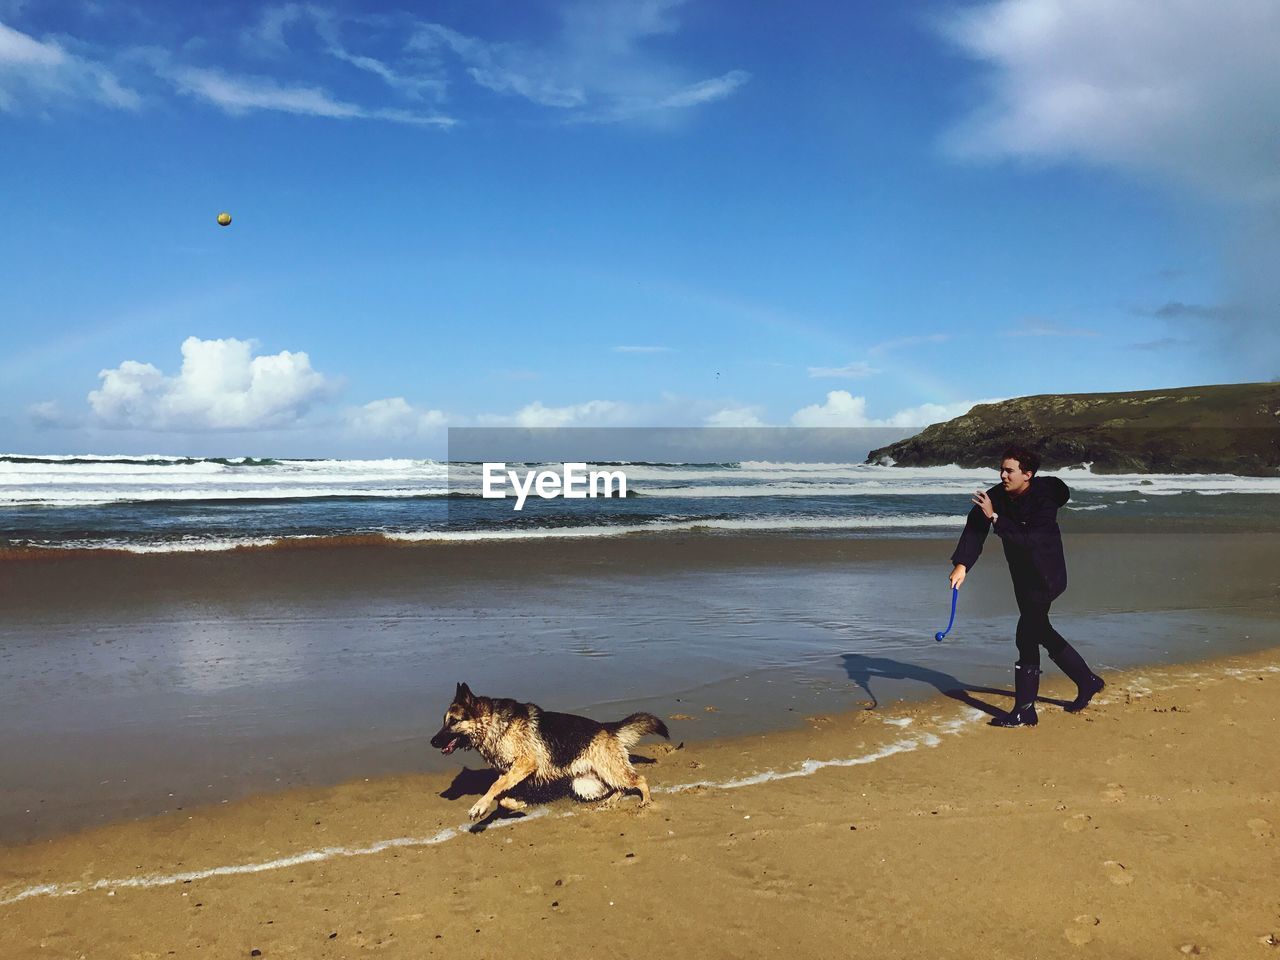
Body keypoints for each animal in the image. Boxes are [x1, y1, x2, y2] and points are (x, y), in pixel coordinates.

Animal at [430, 680, 670, 824]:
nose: (432, 742)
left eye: (453, 721)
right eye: (443, 721)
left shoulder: (525, 764)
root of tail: (607, 728)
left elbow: (495, 787)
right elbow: (501, 793)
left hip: (608, 770)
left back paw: (645, 801)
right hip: (587, 783)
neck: (493, 724)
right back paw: (611, 801)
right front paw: (515, 805)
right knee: (618, 787)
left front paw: (479, 807)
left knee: (639, 779)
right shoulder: (513, 772)